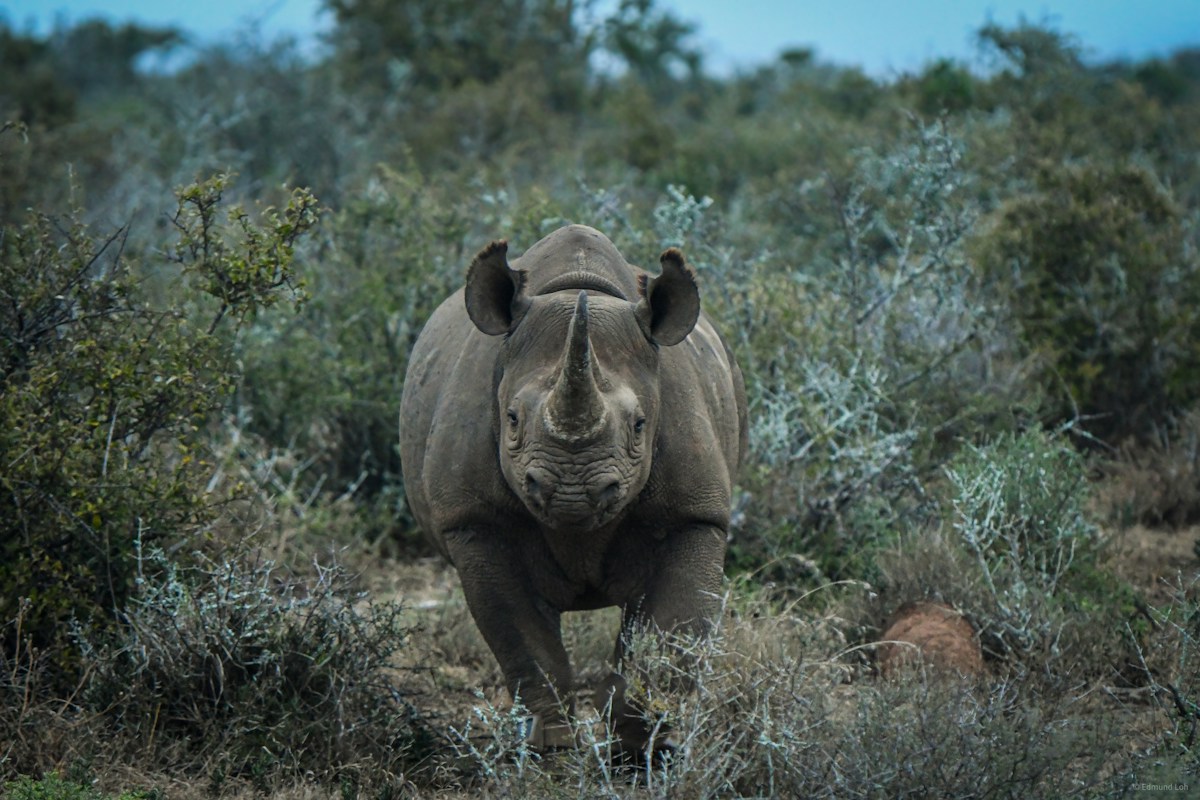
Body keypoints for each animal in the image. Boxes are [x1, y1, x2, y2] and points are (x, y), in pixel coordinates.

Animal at [400, 224, 746, 751]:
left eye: (640, 425)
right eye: (512, 419)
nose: (571, 492)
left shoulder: (695, 513)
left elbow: (670, 633)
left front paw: (640, 748)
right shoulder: (474, 521)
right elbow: (522, 642)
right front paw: (553, 748)